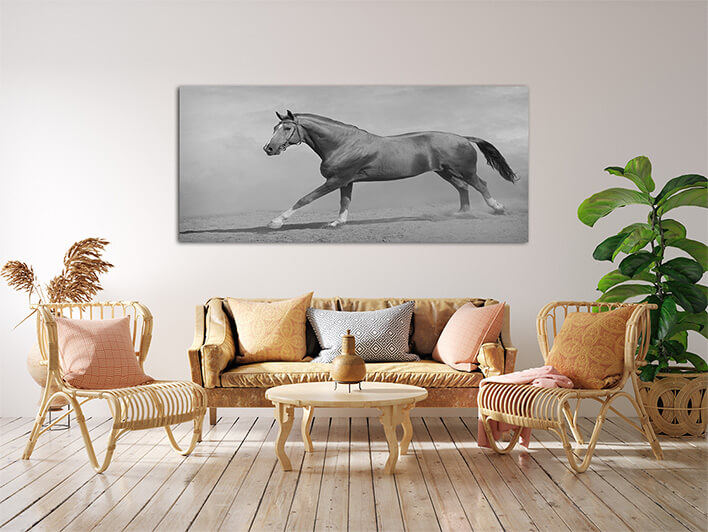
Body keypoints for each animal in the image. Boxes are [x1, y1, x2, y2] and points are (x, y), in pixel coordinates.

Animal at [263, 110, 519, 229]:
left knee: (480, 184)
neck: (343, 144)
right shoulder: (346, 181)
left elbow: (305, 198)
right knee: (462, 187)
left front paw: (276, 221)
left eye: (287, 128)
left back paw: (499, 209)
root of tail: (463, 138)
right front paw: (337, 223)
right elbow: (345, 202)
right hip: (444, 171)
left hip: (464, 170)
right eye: (275, 127)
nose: (269, 148)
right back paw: (461, 213)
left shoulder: (336, 179)